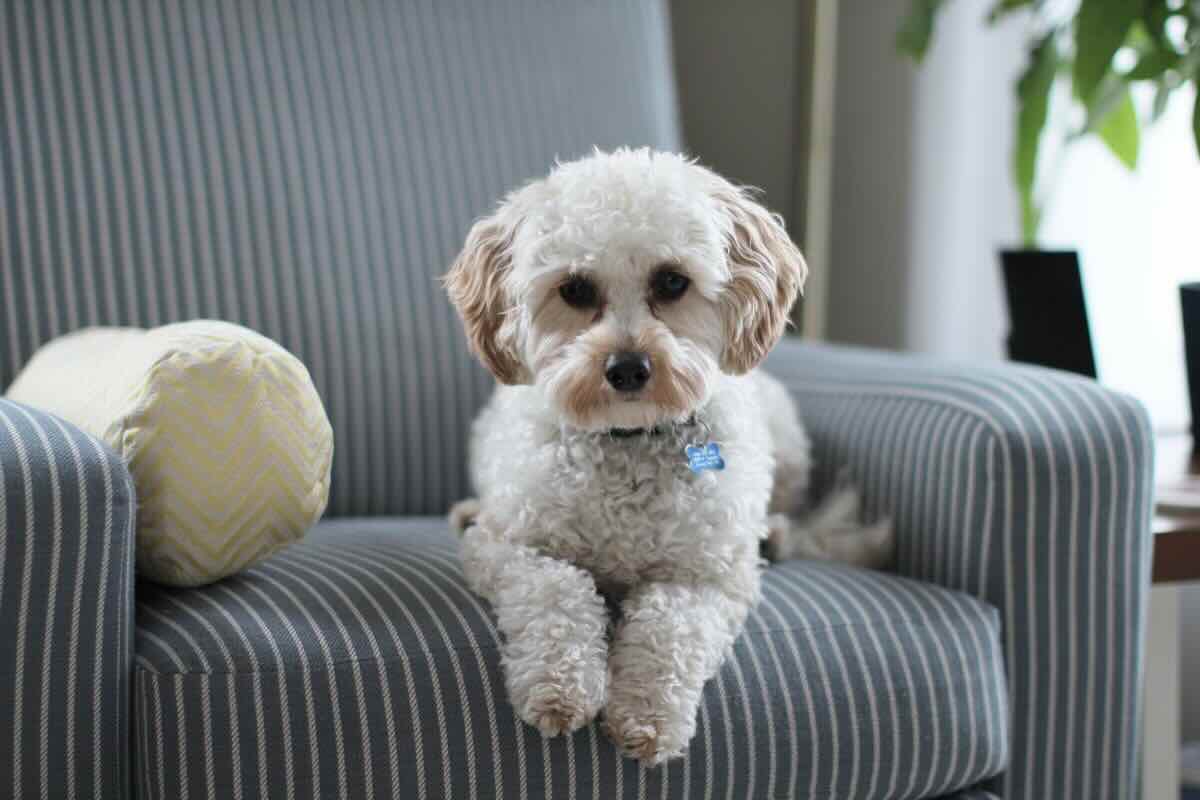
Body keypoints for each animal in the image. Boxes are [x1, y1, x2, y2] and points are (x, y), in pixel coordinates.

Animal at [444, 146, 892, 767]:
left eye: (672, 281)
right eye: (575, 290)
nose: (628, 368)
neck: (627, 439)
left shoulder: (707, 577)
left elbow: (669, 627)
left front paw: (647, 714)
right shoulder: (508, 548)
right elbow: (557, 590)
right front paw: (560, 687)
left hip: (786, 443)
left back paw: (775, 535)